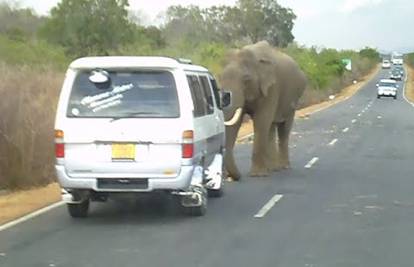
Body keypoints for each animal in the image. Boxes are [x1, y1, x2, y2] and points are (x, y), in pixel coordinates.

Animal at [220, 41, 308, 180]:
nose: (235, 177)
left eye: (246, 79)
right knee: (271, 127)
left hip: (294, 99)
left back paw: (283, 167)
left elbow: (261, 121)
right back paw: (272, 168)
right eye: (220, 78)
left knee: (284, 129)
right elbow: (238, 121)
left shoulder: (272, 87)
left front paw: (257, 175)